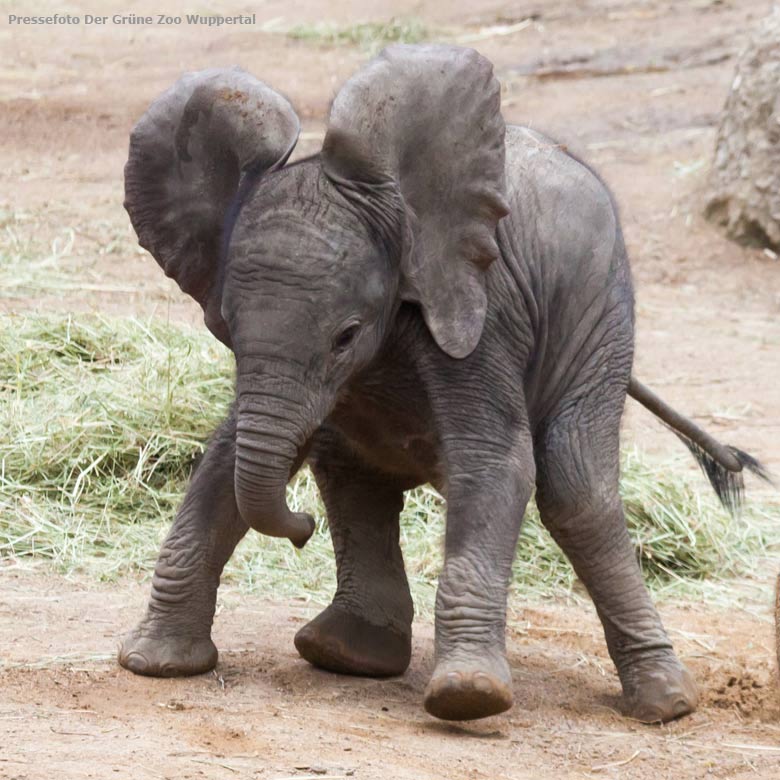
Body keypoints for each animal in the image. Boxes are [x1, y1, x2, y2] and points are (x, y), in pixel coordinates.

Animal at [119, 45, 764, 724]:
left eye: (347, 335)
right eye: (227, 329)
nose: (301, 529)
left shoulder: (480, 304)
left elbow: (497, 460)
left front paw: (467, 698)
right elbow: (227, 455)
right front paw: (154, 664)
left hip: (601, 314)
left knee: (575, 489)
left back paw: (665, 704)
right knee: (352, 474)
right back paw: (346, 654)